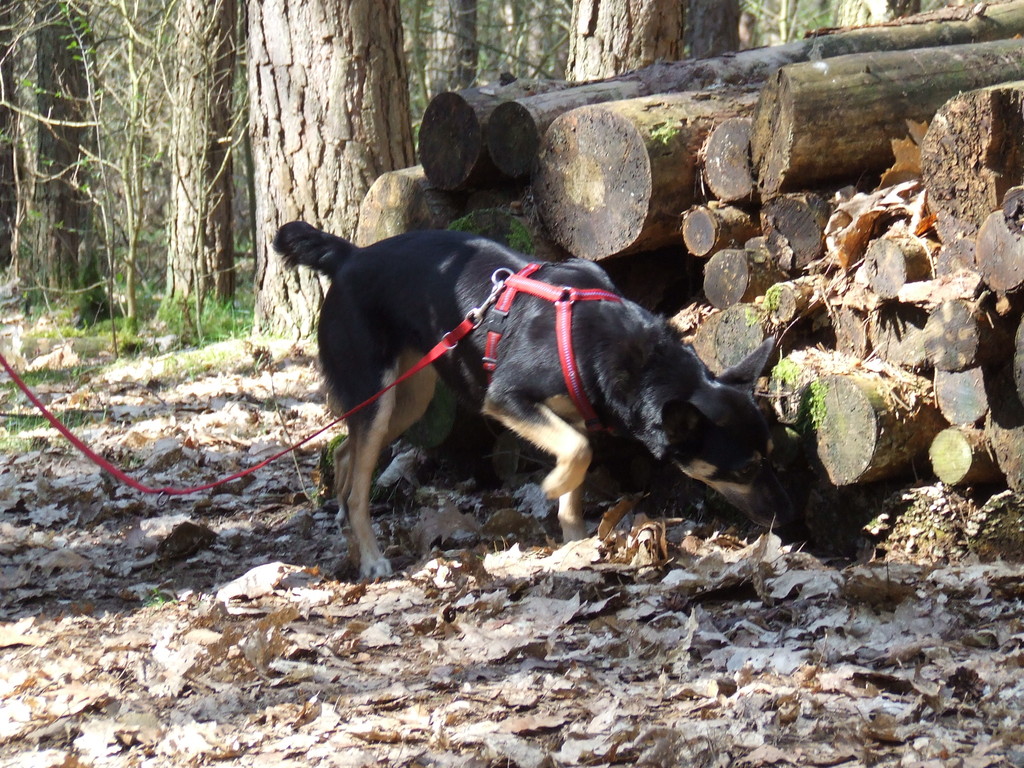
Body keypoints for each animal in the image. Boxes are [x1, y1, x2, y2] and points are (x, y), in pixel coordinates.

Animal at [274, 222, 794, 578]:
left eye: (771, 455)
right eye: (745, 469)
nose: (785, 515)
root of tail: (349, 256)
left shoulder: (575, 414)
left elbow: (577, 483)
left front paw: (576, 545)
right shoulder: (507, 398)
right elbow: (577, 457)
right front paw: (551, 487)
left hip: (407, 398)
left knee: (347, 453)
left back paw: (347, 531)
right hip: (378, 394)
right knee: (358, 482)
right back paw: (371, 557)